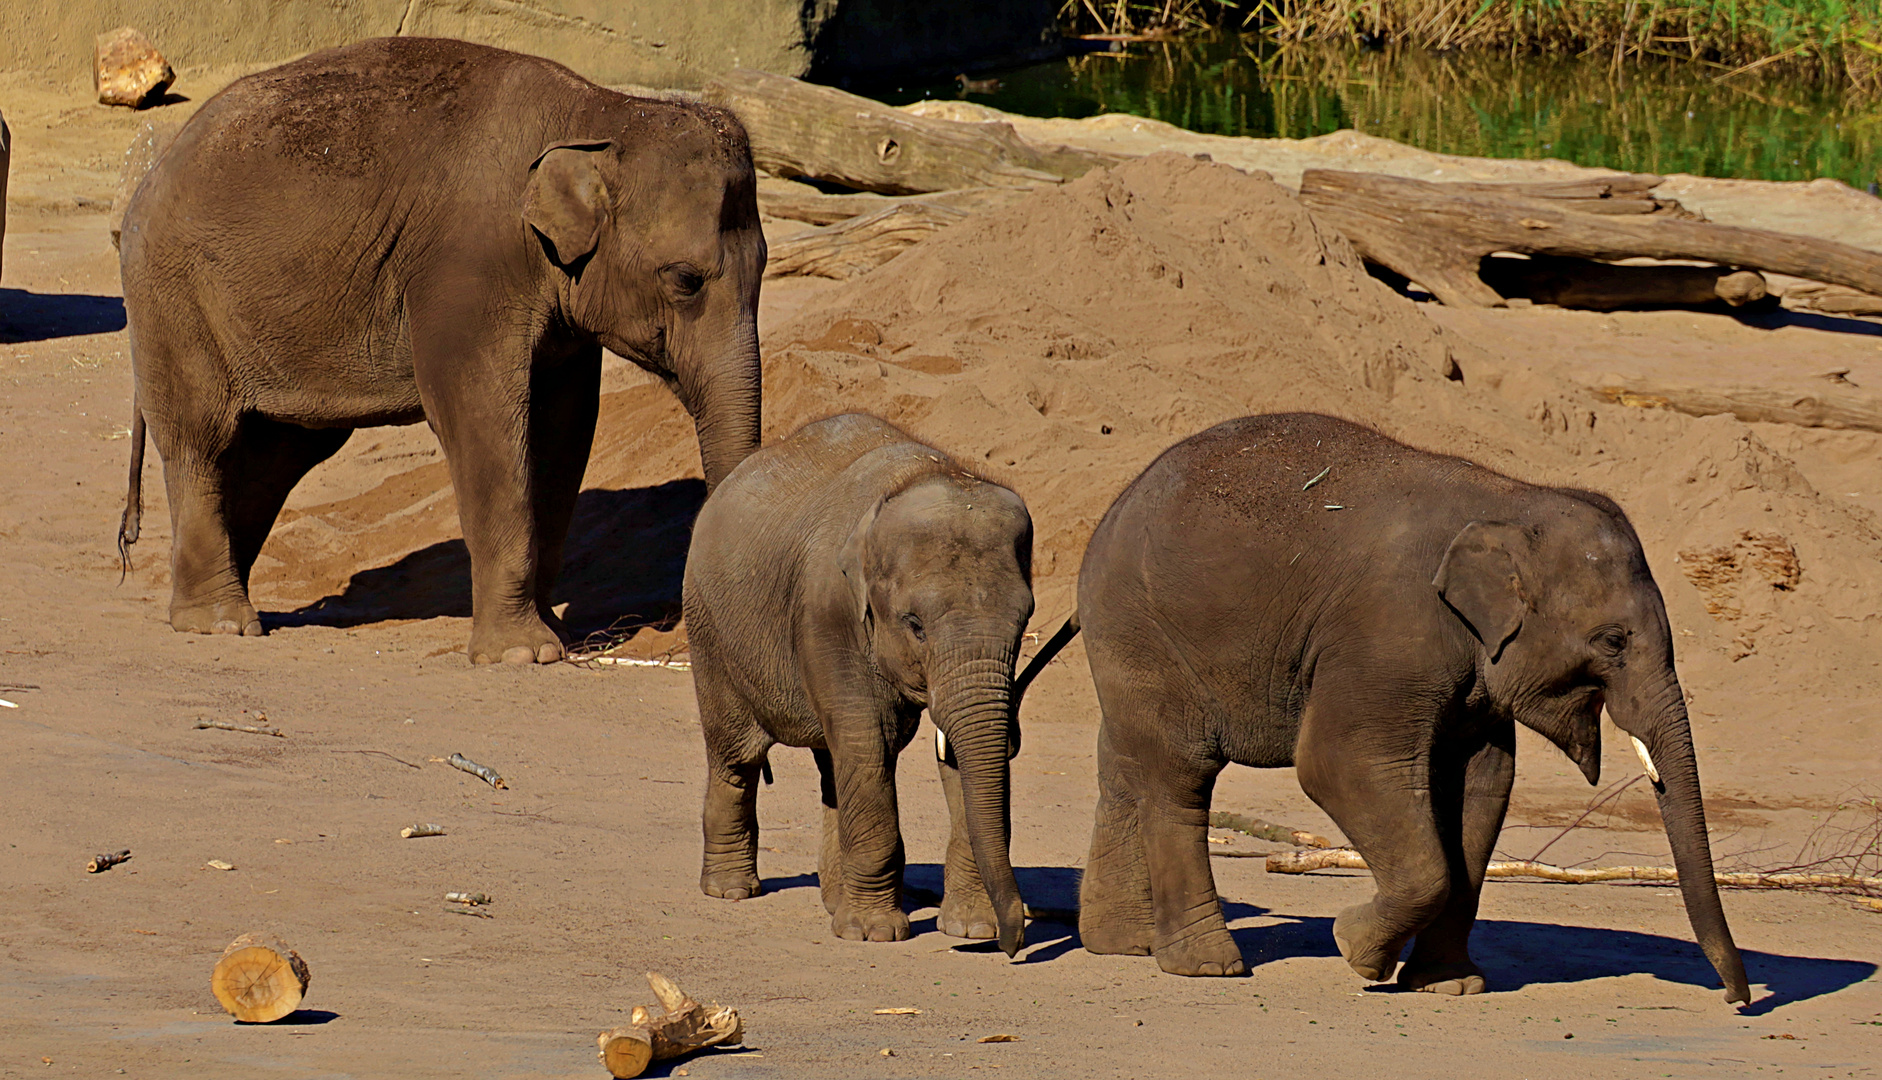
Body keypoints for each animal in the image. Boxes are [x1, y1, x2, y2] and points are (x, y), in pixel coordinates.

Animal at [115, 38, 764, 666]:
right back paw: (221, 624)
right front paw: (521, 655)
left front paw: (554, 637)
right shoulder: (467, 271)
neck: (604, 110)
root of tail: (150, 177)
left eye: (763, 269)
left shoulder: (558, 312)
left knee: (276, 452)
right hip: (174, 300)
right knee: (204, 441)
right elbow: (481, 420)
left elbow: (564, 430)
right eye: (685, 280)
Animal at [681, 413, 1038, 955]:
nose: (1012, 945)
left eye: (1024, 623)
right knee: (737, 756)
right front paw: (873, 934)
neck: (922, 474)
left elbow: (943, 757)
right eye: (915, 625)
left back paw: (832, 899)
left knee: (833, 765)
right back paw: (731, 890)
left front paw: (972, 929)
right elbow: (867, 742)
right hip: (707, 627)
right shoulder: (828, 612)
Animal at [1031, 412, 1746, 1008]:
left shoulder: (1471, 671)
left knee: (1126, 765)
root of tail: (1108, 518)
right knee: (1181, 774)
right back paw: (1209, 965)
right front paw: (1356, 950)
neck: (1511, 501)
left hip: (1129, 644)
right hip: (1146, 630)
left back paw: (1122, 945)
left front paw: (1449, 987)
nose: (1738, 1000)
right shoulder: (1388, 632)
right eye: (1613, 640)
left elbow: (1481, 786)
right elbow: (1336, 763)